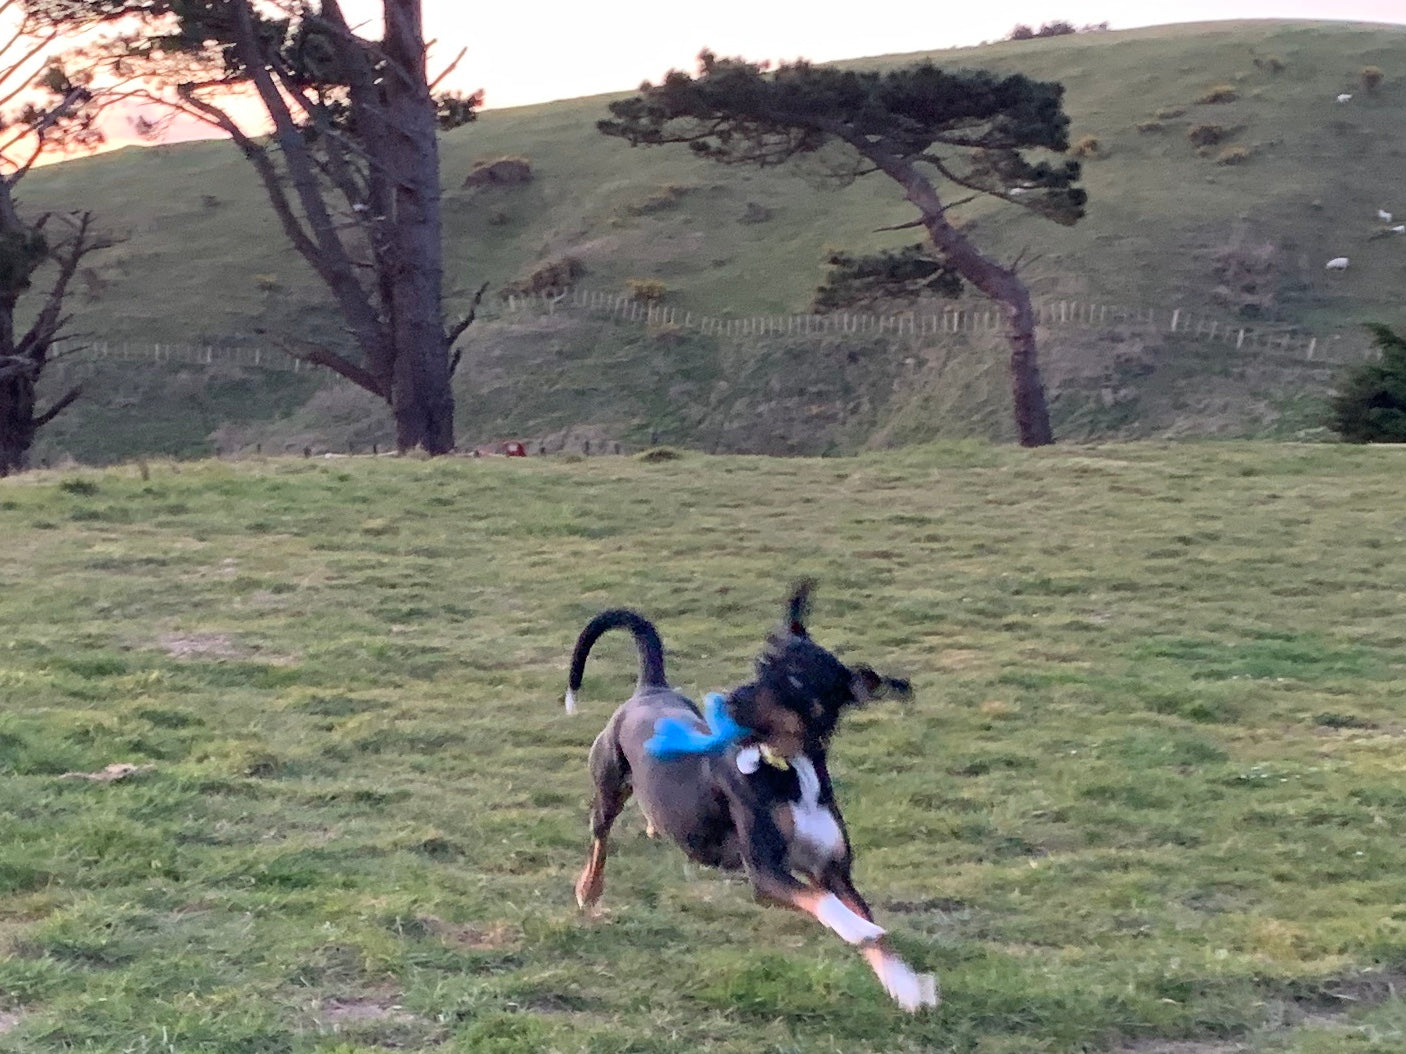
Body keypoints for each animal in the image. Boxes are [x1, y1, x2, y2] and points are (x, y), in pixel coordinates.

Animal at [562, 587, 944, 1017]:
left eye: (795, 678)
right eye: (761, 664)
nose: (729, 699)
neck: (789, 766)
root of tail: (651, 688)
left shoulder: (833, 869)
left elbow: (870, 930)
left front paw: (907, 986)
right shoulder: (766, 872)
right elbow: (832, 906)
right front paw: (859, 928)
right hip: (608, 787)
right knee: (599, 837)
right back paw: (589, 888)